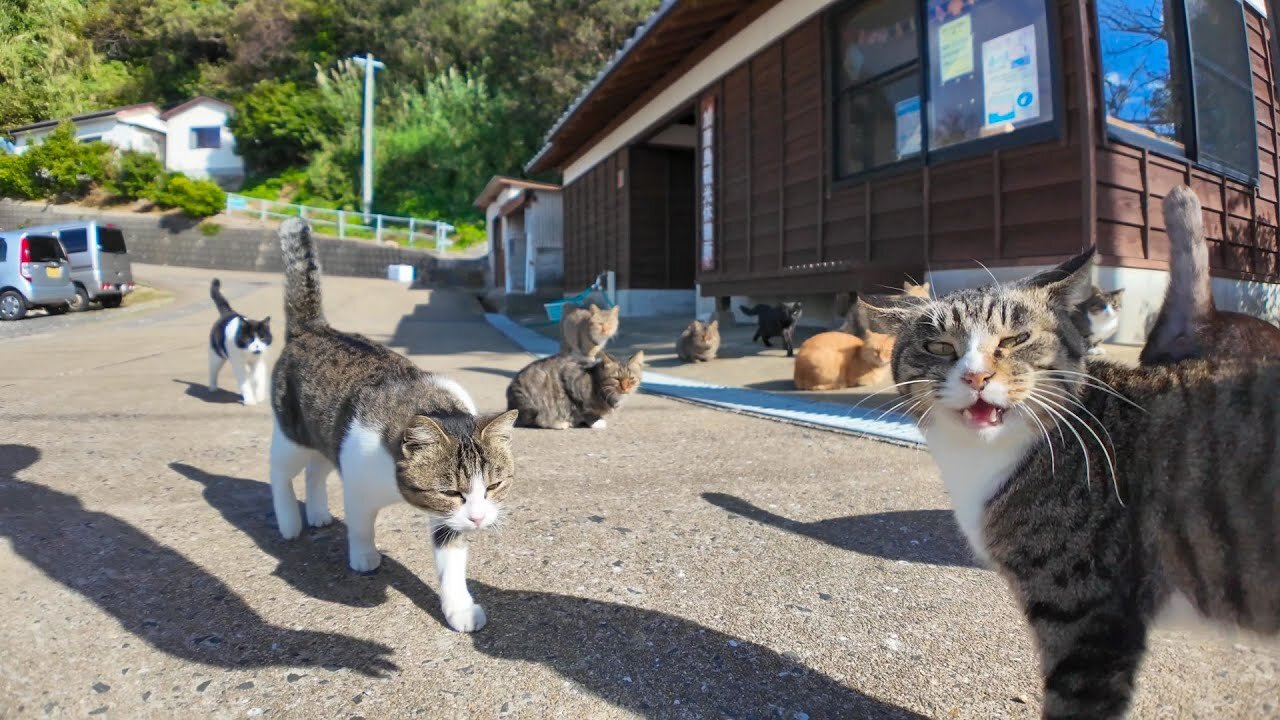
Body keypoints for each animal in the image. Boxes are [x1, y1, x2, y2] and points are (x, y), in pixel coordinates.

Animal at [207, 275, 272, 404]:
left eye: (262, 337)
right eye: (249, 338)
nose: (257, 346)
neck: (247, 354)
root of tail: (228, 312)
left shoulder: (258, 362)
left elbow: (259, 379)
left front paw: (260, 396)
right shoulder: (238, 364)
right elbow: (244, 383)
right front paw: (250, 400)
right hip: (216, 357)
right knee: (213, 371)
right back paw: (212, 387)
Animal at [267, 217, 517, 627]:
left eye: (494, 485)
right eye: (452, 492)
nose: (480, 520)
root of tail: (314, 328)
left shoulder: (448, 520)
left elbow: (451, 560)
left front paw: (459, 608)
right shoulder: (358, 479)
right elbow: (361, 523)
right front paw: (364, 556)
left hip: (325, 433)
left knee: (316, 470)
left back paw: (317, 513)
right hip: (293, 434)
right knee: (280, 471)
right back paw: (289, 521)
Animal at [506, 348, 645, 425]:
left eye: (631, 379)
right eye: (617, 379)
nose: (625, 388)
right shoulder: (572, 382)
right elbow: (583, 408)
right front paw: (596, 421)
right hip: (535, 401)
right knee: (532, 420)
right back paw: (558, 423)